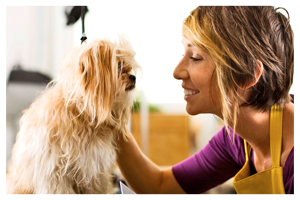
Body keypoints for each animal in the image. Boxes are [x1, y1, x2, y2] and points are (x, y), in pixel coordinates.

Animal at [5, 36, 140, 195]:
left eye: (129, 68)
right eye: (119, 67)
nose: (133, 77)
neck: (83, 116)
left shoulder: (94, 174)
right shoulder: (55, 175)